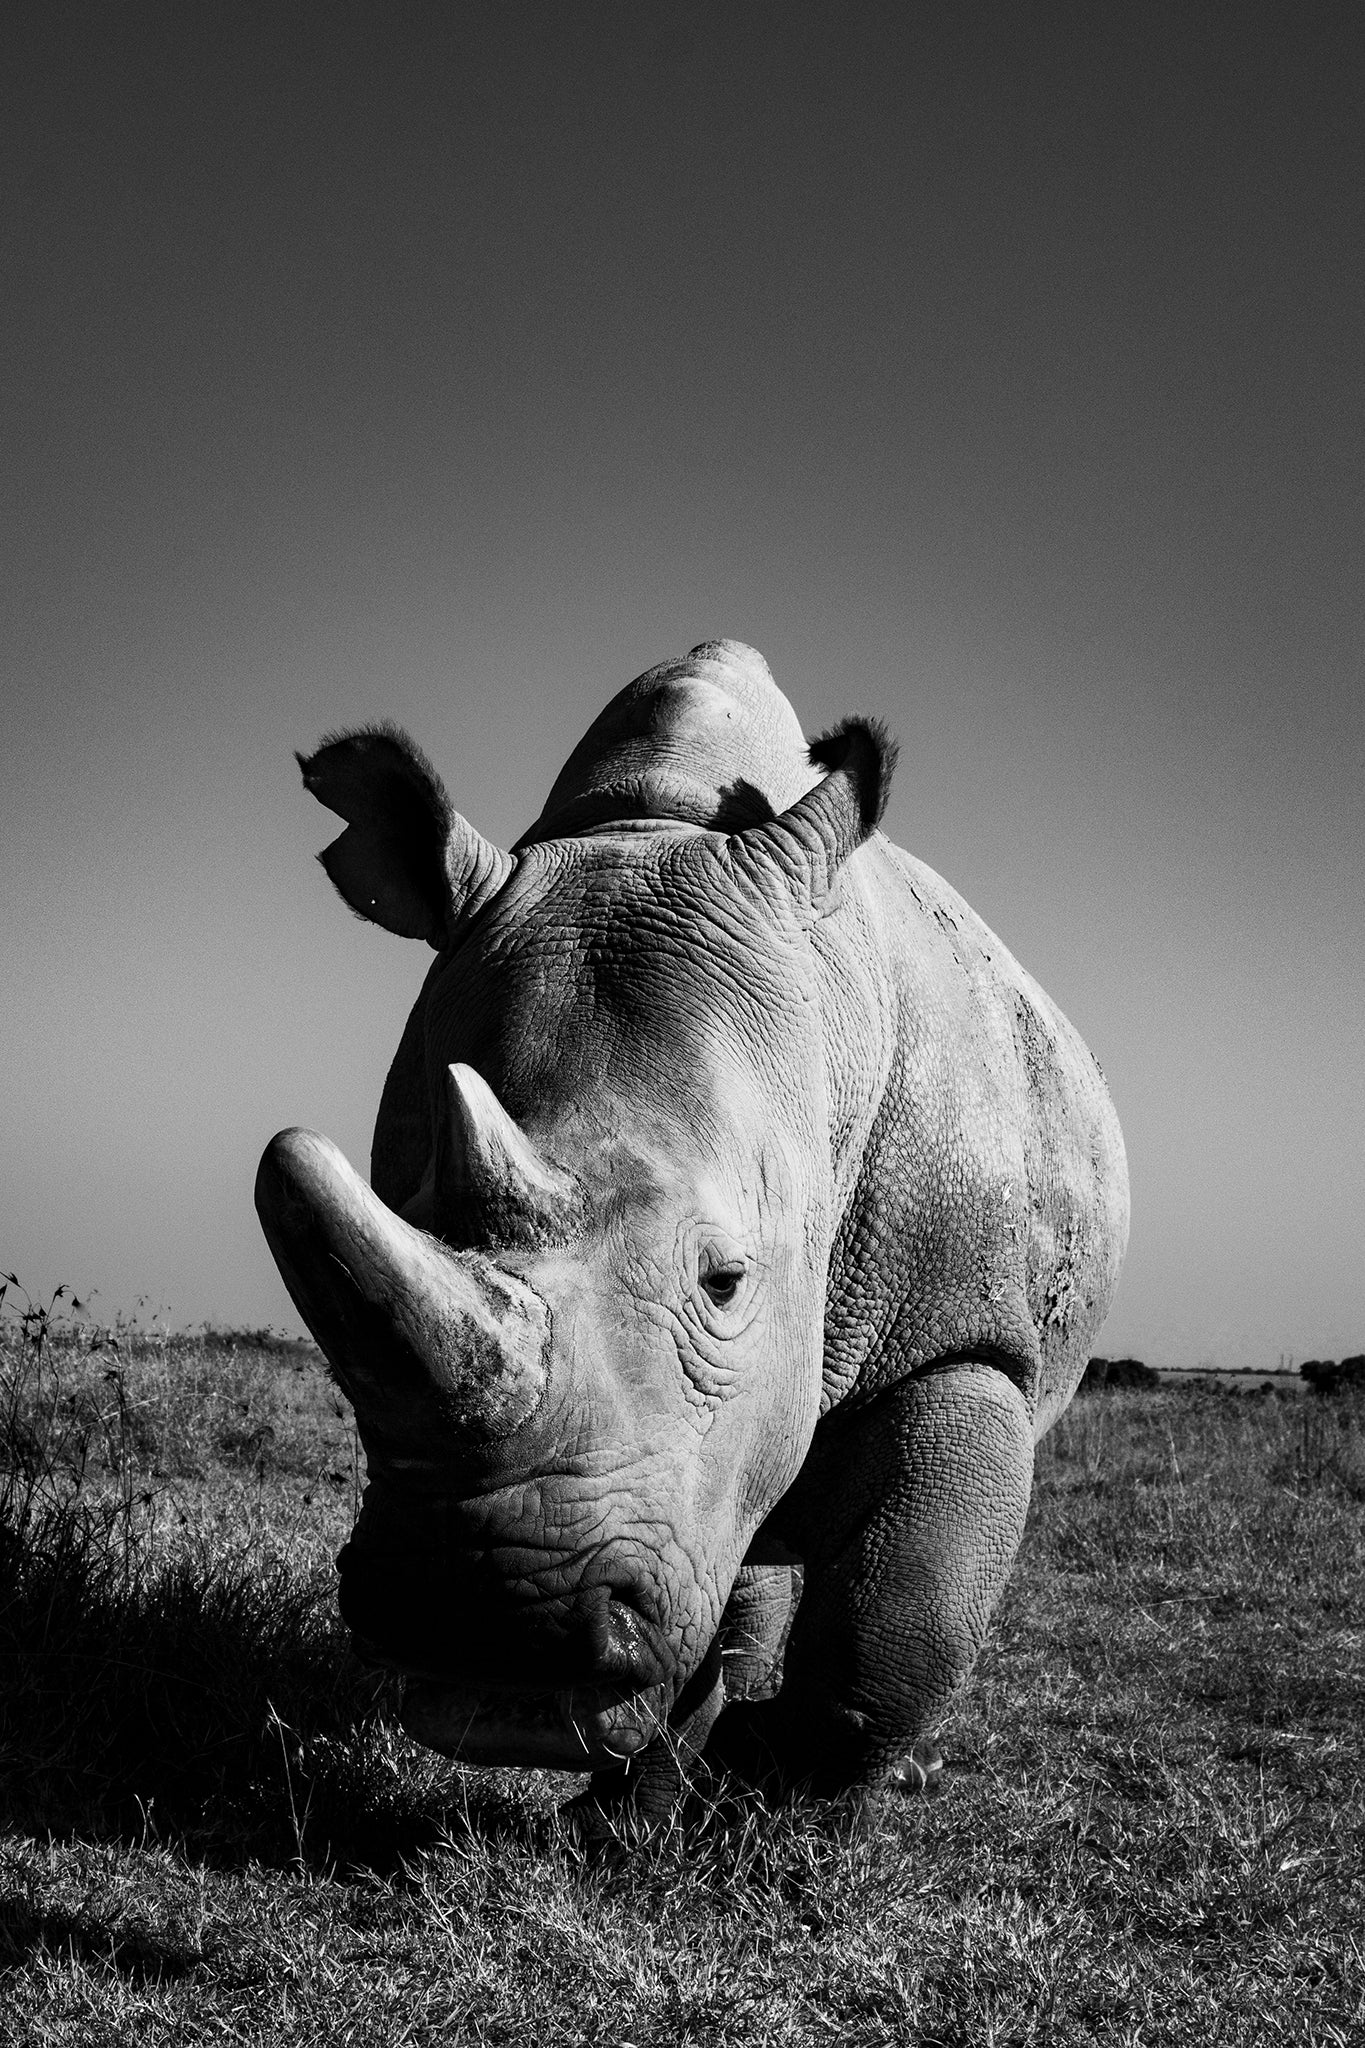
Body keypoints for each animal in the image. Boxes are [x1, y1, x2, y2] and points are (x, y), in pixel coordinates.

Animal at [256, 639, 1128, 1814]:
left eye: (726, 1282)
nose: (489, 1621)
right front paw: (644, 1806)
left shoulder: (966, 1326)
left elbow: (900, 1623)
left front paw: (756, 1798)